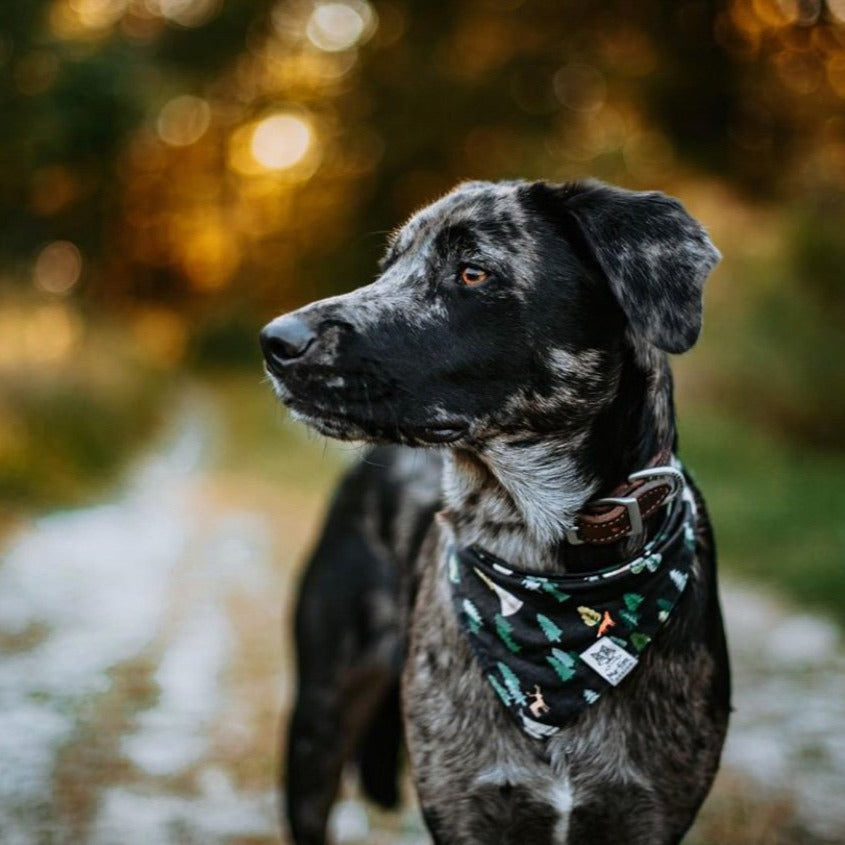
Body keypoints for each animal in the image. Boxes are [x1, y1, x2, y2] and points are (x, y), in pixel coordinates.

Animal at [262, 180, 732, 844]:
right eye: (388, 268)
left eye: (473, 272)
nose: (275, 340)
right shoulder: (467, 809)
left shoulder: (647, 814)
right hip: (319, 717)